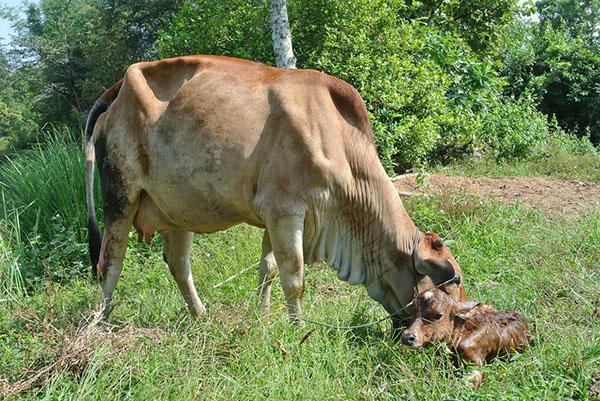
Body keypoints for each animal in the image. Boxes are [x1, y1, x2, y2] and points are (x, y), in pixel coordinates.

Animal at [84, 55, 466, 332]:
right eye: (452, 281)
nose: (461, 325)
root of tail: (117, 90)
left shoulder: (272, 215)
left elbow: (267, 268)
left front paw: (264, 316)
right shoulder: (285, 211)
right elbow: (293, 277)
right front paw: (298, 330)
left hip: (177, 209)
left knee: (178, 264)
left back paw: (201, 316)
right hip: (120, 196)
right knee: (110, 263)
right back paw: (99, 324)